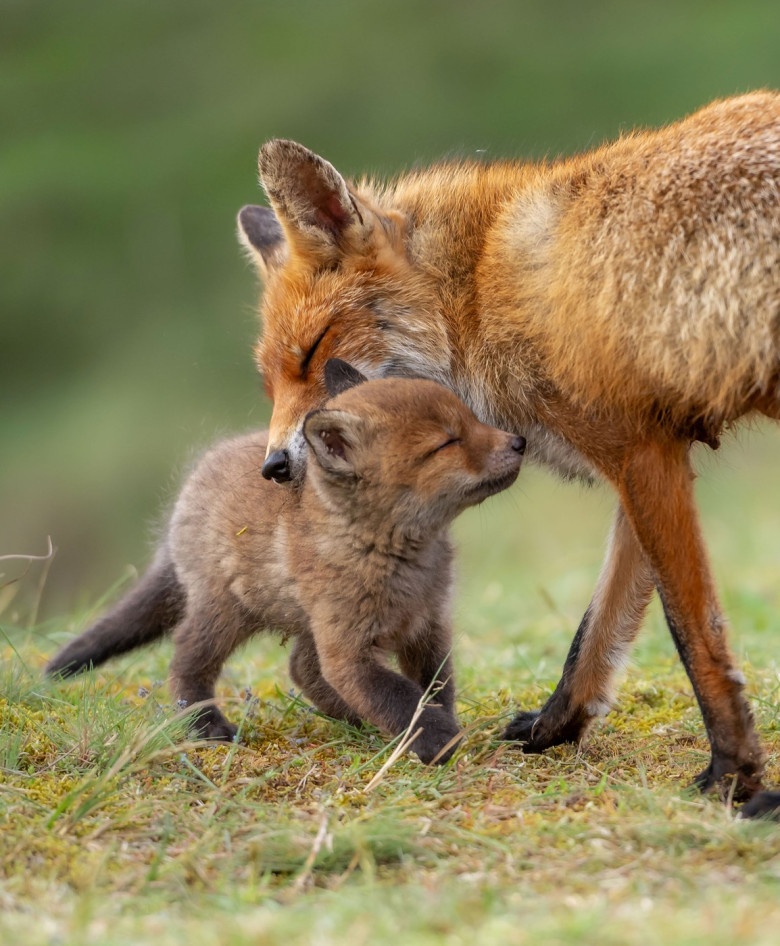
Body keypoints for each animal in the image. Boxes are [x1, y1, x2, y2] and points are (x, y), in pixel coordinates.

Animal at [236, 97, 780, 820]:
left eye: (314, 351)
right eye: (269, 382)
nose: (274, 467)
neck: (481, 286)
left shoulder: (639, 454)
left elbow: (692, 630)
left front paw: (732, 774)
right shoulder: (652, 455)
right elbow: (598, 629)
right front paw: (557, 726)